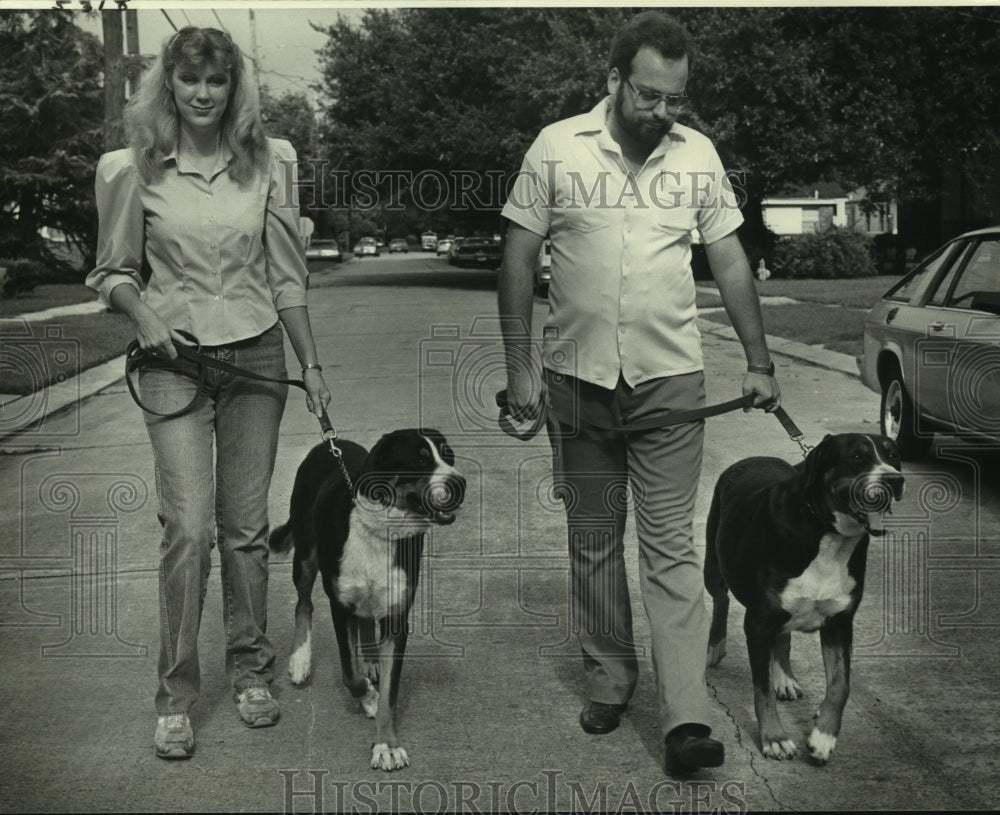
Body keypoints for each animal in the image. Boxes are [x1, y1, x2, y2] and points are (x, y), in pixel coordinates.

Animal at [270, 430, 464, 776]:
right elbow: (350, 673)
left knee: (364, 621)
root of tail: (329, 443)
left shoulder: (397, 616)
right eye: (419, 460)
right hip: (306, 553)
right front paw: (368, 698)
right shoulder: (340, 604)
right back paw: (300, 659)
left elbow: (390, 692)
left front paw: (387, 744)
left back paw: (371, 660)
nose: (461, 483)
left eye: (448, 455)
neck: (381, 532)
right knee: (303, 604)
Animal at [704, 434, 908, 764]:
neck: (827, 535)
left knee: (783, 637)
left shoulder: (840, 622)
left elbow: (841, 684)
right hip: (714, 560)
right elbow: (761, 690)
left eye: (893, 456)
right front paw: (775, 738)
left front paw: (823, 735)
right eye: (857, 457)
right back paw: (715, 646)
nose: (894, 480)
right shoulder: (758, 622)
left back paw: (784, 678)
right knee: (720, 599)